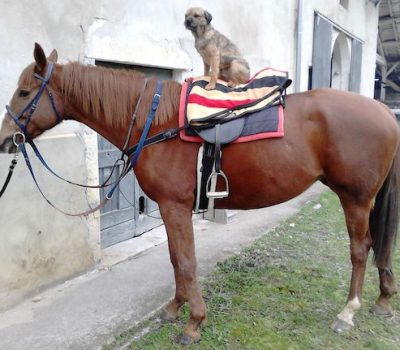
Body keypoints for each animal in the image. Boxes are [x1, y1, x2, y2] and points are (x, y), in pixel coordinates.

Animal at [0, 44, 400, 344]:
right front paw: (174, 308)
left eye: (24, 92)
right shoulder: (167, 207)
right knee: (377, 247)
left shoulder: (175, 206)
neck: (157, 123)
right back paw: (383, 299)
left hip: (355, 198)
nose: (6, 139)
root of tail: (384, 111)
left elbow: (187, 262)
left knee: (361, 249)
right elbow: (176, 259)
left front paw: (193, 323)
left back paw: (348, 311)